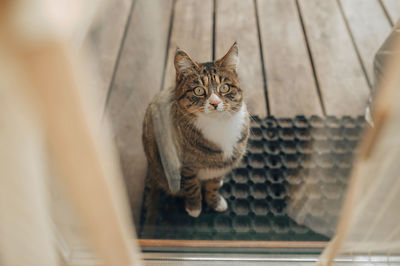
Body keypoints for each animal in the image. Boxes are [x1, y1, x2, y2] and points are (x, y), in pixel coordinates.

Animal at [143, 42, 250, 217]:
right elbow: (192, 187)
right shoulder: (184, 166)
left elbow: (213, 185)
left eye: (225, 88)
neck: (218, 124)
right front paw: (194, 207)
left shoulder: (221, 165)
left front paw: (214, 201)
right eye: (199, 90)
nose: (215, 103)